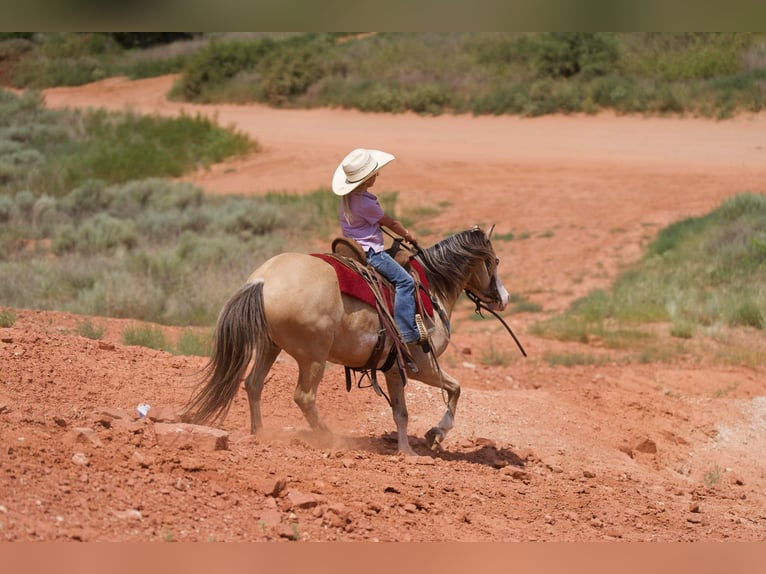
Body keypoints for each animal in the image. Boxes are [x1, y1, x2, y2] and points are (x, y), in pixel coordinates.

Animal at [182, 225, 510, 456]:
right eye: (494, 260)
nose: (504, 298)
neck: (429, 289)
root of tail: (263, 280)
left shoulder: (393, 370)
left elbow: (401, 412)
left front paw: (409, 448)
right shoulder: (422, 365)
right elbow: (453, 390)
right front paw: (431, 437)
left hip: (269, 346)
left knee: (253, 384)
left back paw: (260, 434)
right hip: (312, 357)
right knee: (304, 397)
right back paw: (329, 438)